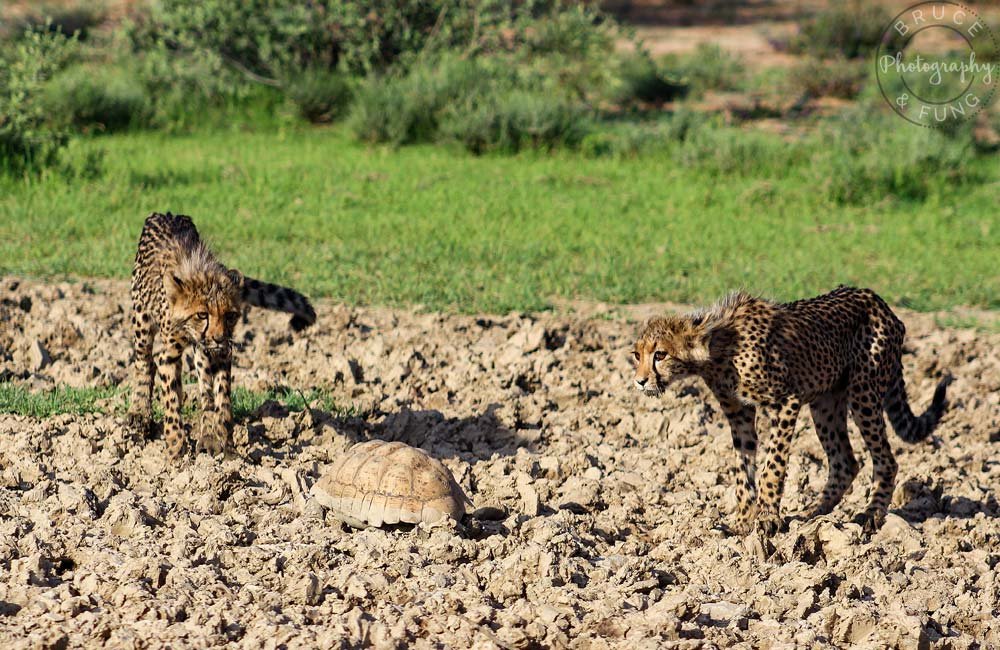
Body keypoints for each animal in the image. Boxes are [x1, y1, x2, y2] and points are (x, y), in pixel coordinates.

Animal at [124, 211, 314, 456]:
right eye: (202, 314)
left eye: (230, 315)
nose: (218, 337)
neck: (203, 274)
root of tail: (166, 213)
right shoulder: (170, 354)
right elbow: (171, 398)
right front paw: (175, 446)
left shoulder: (221, 353)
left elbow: (220, 397)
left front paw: (225, 441)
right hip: (142, 319)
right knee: (144, 362)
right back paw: (140, 413)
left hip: (200, 351)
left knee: (204, 389)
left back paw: (207, 436)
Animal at [632, 286, 952, 536]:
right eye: (637, 355)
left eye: (660, 354)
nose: (640, 381)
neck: (717, 348)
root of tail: (877, 299)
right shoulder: (739, 414)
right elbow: (742, 471)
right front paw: (742, 523)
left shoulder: (786, 401)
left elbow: (771, 466)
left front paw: (767, 518)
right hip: (825, 403)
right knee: (845, 462)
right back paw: (812, 515)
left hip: (864, 392)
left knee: (886, 460)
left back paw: (870, 516)